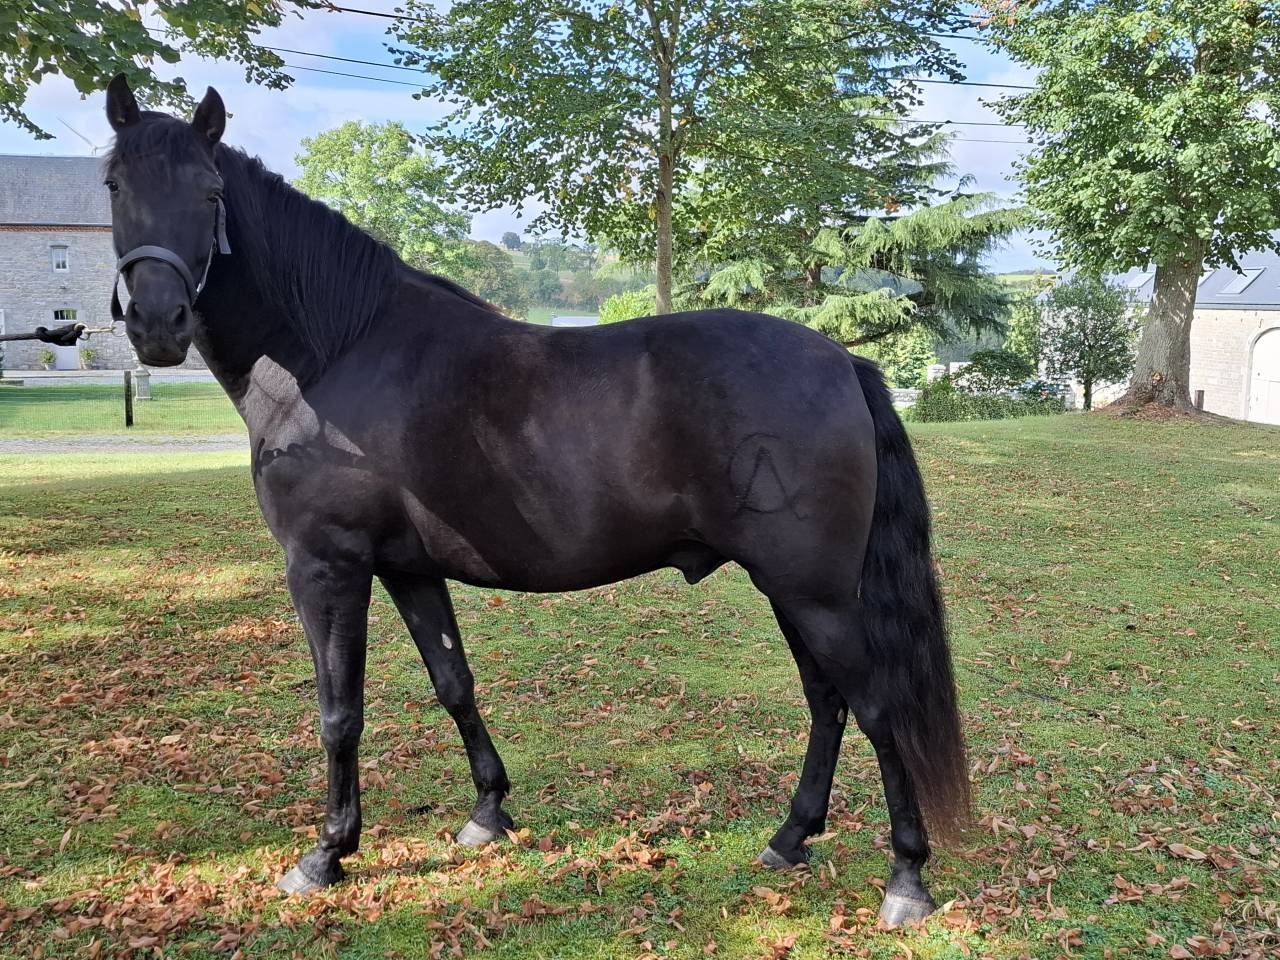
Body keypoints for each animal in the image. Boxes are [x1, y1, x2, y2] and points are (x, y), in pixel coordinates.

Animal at [101, 75, 969, 925]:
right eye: (114, 185)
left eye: (211, 191)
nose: (157, 324)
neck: (333, 354)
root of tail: (842, 362)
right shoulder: (408, 568)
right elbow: (453, 681)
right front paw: (487, 812)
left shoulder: (327, 567)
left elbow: (339, 712)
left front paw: (326, 854)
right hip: (792, 589)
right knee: (828, 703)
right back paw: (790, 838)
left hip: (813, 590)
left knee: (875, 708)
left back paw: (906, 878)